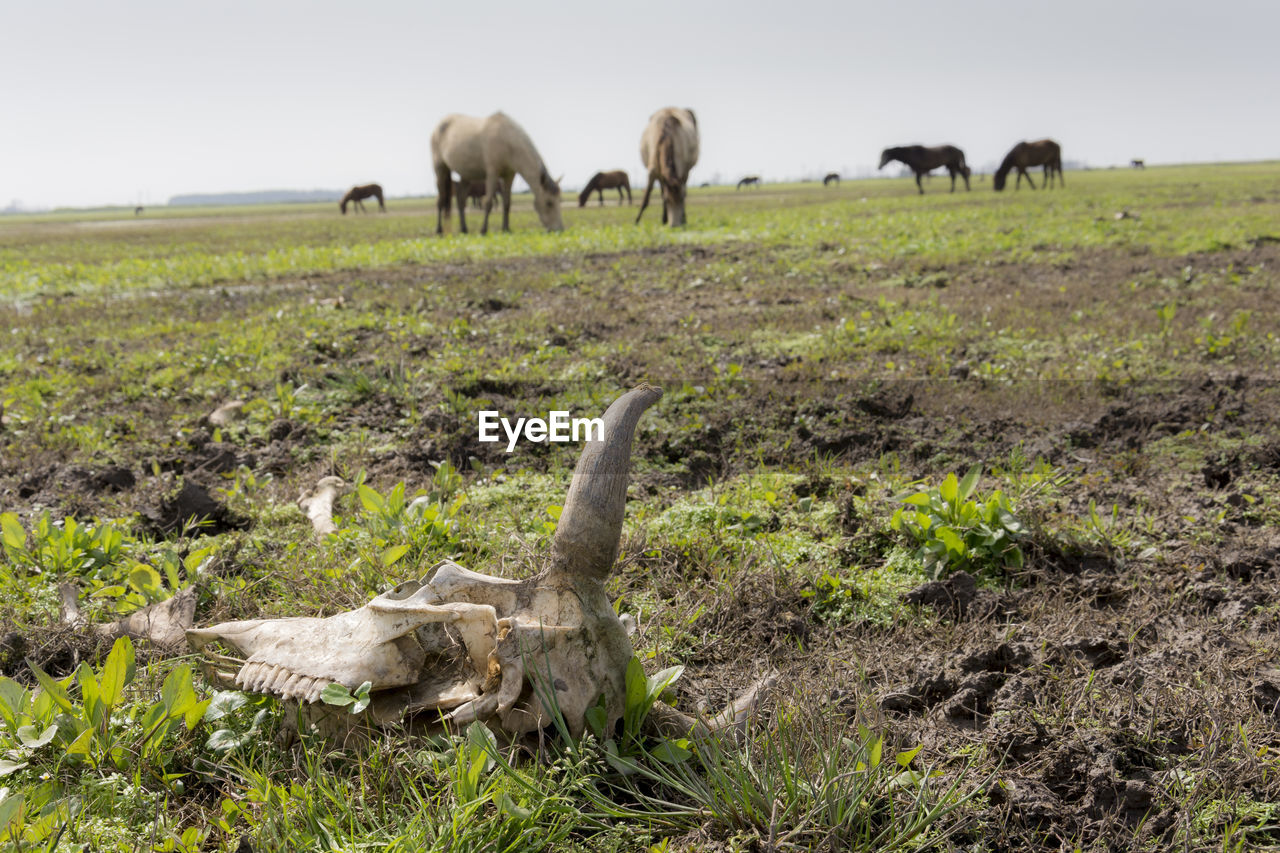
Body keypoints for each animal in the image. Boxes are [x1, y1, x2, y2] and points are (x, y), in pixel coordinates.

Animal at [432, 112, 563, 235]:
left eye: (560, 200)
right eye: (549, 203)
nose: (559, 229)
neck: (507, 141)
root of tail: (439, 126)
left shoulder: (509, 176)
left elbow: (507, 203)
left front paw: (506, 229)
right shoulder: (492, 174)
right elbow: (488, 203)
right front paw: (483, 230)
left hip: (465, 174)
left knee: (460, 201)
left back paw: (464, 229)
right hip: (440, 169)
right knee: (441, 201)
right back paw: (439, 230)